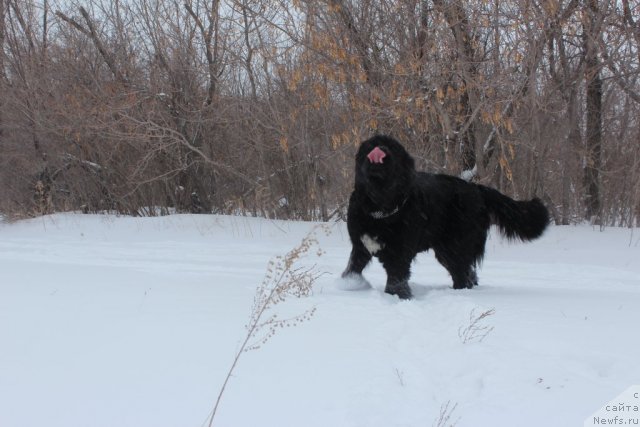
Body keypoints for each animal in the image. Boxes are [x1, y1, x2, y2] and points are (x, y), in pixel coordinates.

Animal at [342, 135, 548, 300]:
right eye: (369, 146)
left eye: (391, 147)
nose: (379, 150)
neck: (381, 210)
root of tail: (476, 189)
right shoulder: (360, 247)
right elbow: (353, 268)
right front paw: (349, 285)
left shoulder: (399, 253)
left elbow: (396, 278)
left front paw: (397, 297)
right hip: (446, 250)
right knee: (468, 273)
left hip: (455, 247)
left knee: (462, 275)